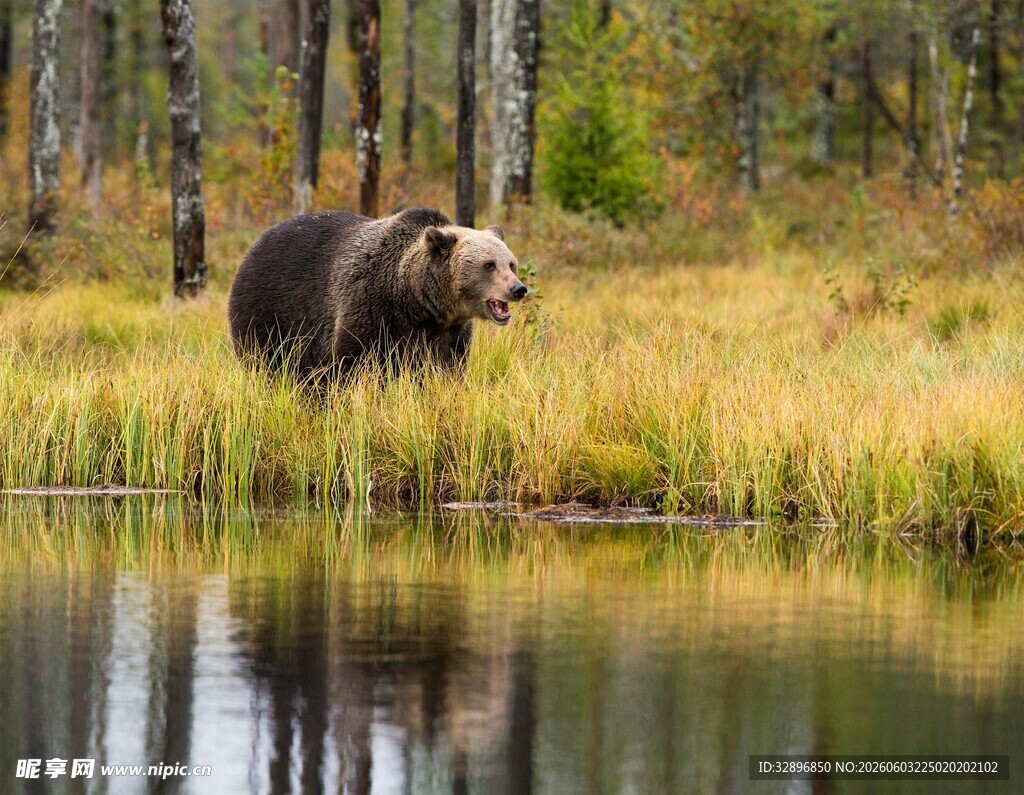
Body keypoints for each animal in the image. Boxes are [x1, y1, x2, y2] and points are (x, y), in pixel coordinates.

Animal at [227, 207, 527, 381]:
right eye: (489, 265)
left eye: (511, 263)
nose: (518, 288)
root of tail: (257, 242)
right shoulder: (370, 305)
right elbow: (355, 362)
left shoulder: (448, 332)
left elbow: (447, 368)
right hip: (269, 310)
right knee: (267, 361)